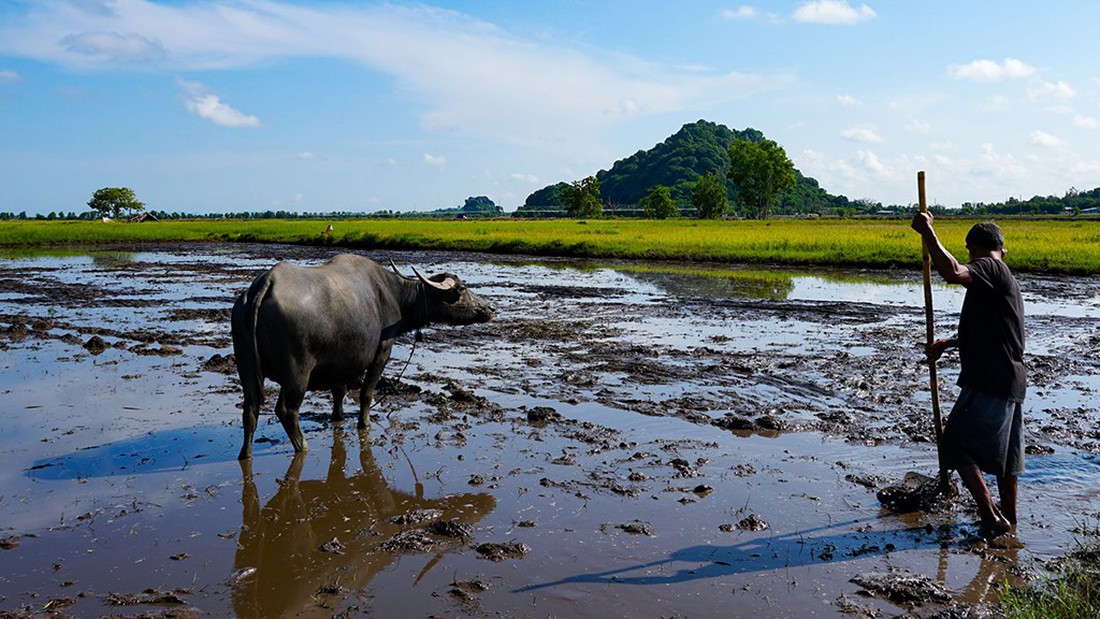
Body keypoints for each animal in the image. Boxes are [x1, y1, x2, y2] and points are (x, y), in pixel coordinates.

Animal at [232, 251, 495, 459]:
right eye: (463, 289)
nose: (490, 308)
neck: (393, 294)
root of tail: (266, 283)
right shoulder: (382, 351)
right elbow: (367, 392)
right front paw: (364, 423)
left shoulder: (341, 360)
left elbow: (339, 391)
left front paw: (338, 417)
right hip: (297, 375)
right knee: (286, 410)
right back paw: (302, 446)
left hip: (245, 367)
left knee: (250, 409)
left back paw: (245, 453)